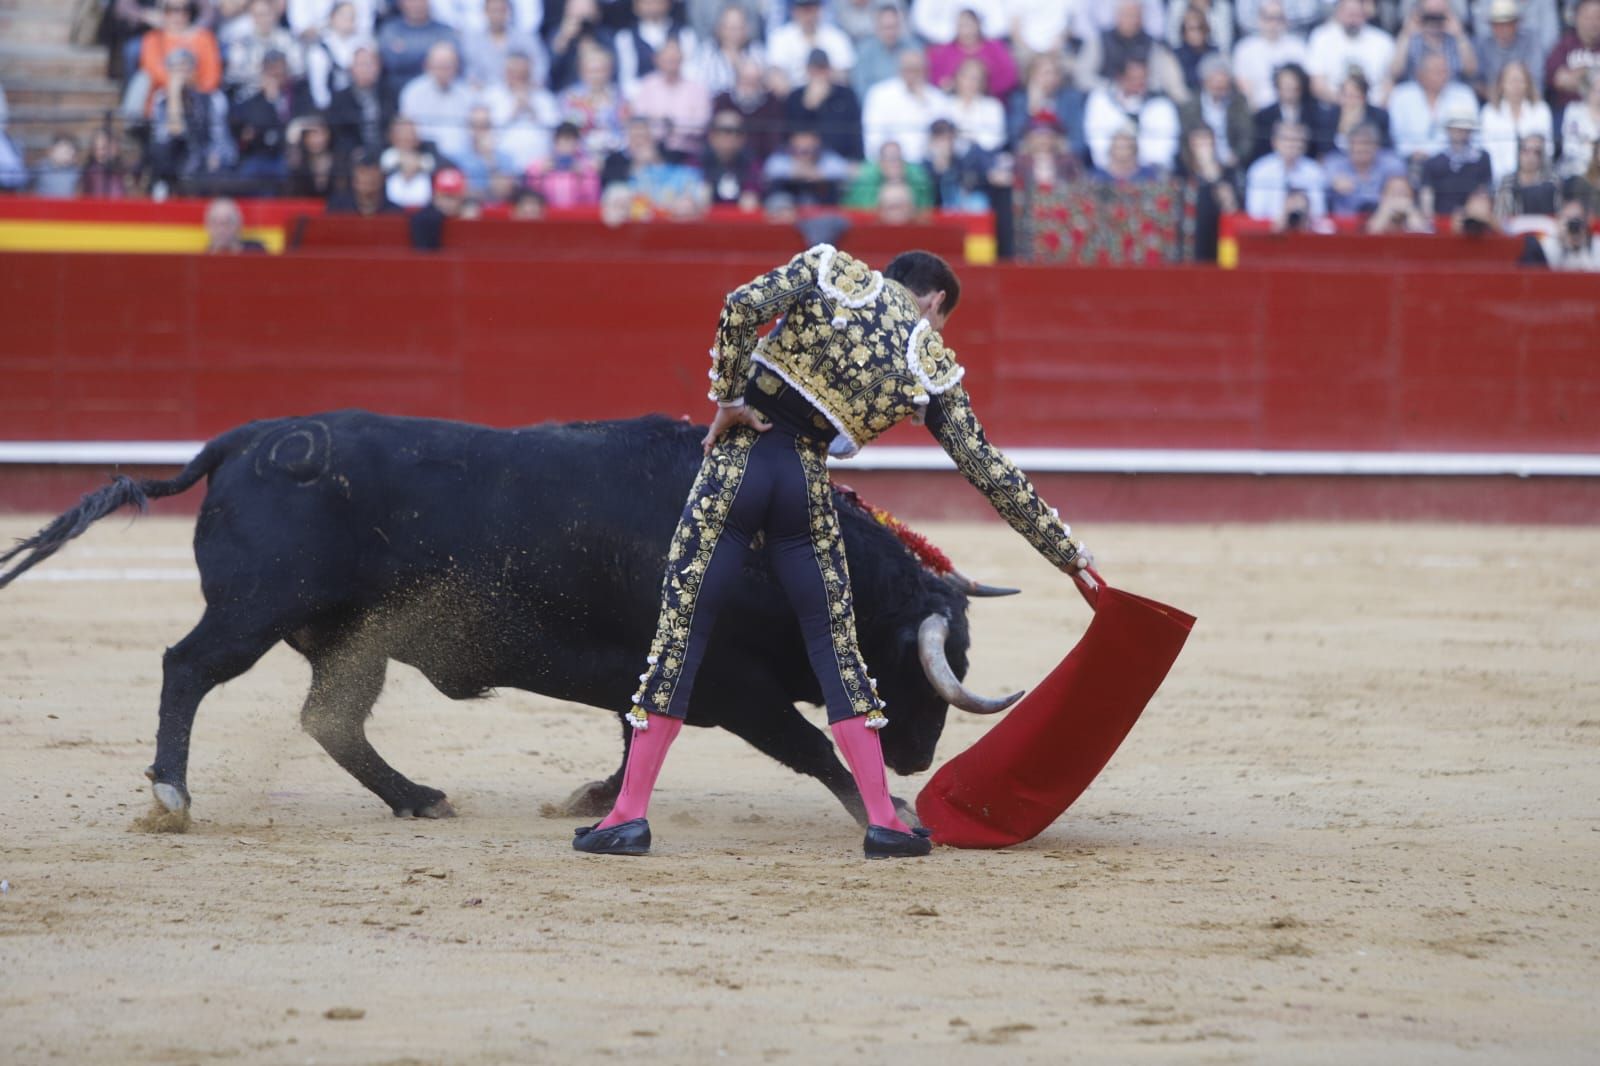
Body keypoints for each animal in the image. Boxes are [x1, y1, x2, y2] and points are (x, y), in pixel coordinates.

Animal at [3, 408, 1011, 819]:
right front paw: (886, 809)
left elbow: (633, 738)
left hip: (350, 638)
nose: (918, 756)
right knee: (186, 667)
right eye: (922, 662)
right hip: (252, 612)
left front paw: (592, 798)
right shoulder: (733, 686)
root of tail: (246, 441)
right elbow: (808, 747)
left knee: (331, 718)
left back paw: (417, 798)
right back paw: (172, 794)